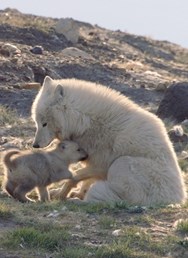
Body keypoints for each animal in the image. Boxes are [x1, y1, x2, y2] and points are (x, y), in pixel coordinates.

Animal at [31, 76, 187, 206]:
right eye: (37, 122)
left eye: (44, 123)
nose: (35, 145)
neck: (85, 121)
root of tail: (176, 200)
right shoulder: (94, 164)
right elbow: (85, 180)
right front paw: (73, 193)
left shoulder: (100, 164)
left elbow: (74, 176)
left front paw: (62, 195)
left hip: (121, 163)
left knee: (108, 200)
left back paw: (77, 202)